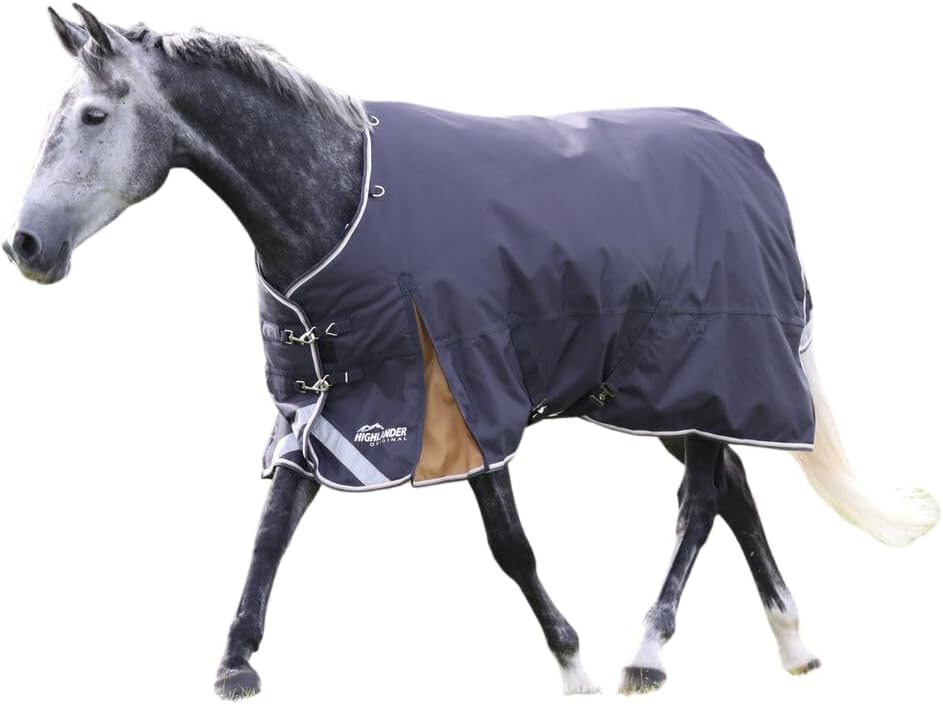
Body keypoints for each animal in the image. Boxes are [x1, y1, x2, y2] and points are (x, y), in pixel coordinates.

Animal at [4, 6, 938, 699]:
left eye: (92, 116)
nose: (27, 247)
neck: (344, 200)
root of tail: (748, 160)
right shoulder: (325, 405)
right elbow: (272, 529)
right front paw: (235, 664)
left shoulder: (464, 391)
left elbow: (509, 543)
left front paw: (574, 662)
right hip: (656, 394)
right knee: (735, 487)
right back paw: (792, 646)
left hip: (703, 371)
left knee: (702, 501)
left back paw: (647, 652)